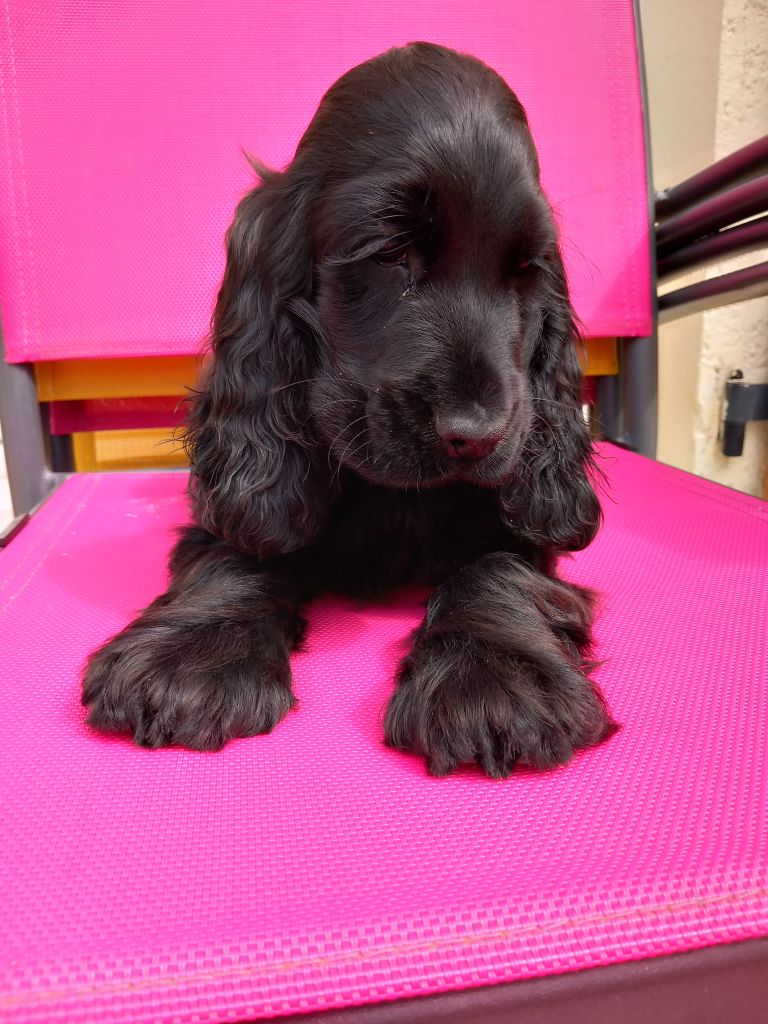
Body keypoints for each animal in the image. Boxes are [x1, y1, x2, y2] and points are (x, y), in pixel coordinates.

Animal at [83, 42, 617, 777]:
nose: (479, 436)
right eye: (389, 252)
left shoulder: (520, 523)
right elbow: (234, 552)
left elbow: (499, 564)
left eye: (524, 270)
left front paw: (494, 675)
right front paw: (192, 656)